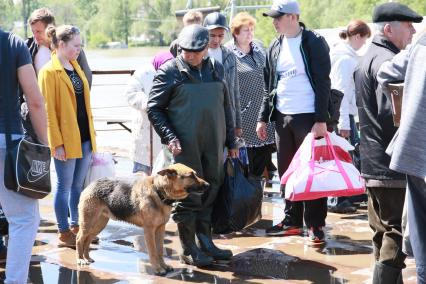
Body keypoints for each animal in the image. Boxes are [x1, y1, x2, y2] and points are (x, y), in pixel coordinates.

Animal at [77, 164, 211, 276]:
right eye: (191, 175)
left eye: (195, 174)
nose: (208, 185)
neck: (158, 191)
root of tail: (92, 183)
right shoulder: (149, 230)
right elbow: (153, 251)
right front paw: (158, 269)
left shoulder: (160, 228)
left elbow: (160, 250)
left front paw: (164, 266)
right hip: (87, 223)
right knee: (80, 238)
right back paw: (80, 259)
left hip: (99, 224)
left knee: (87, 240)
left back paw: (87, 258)